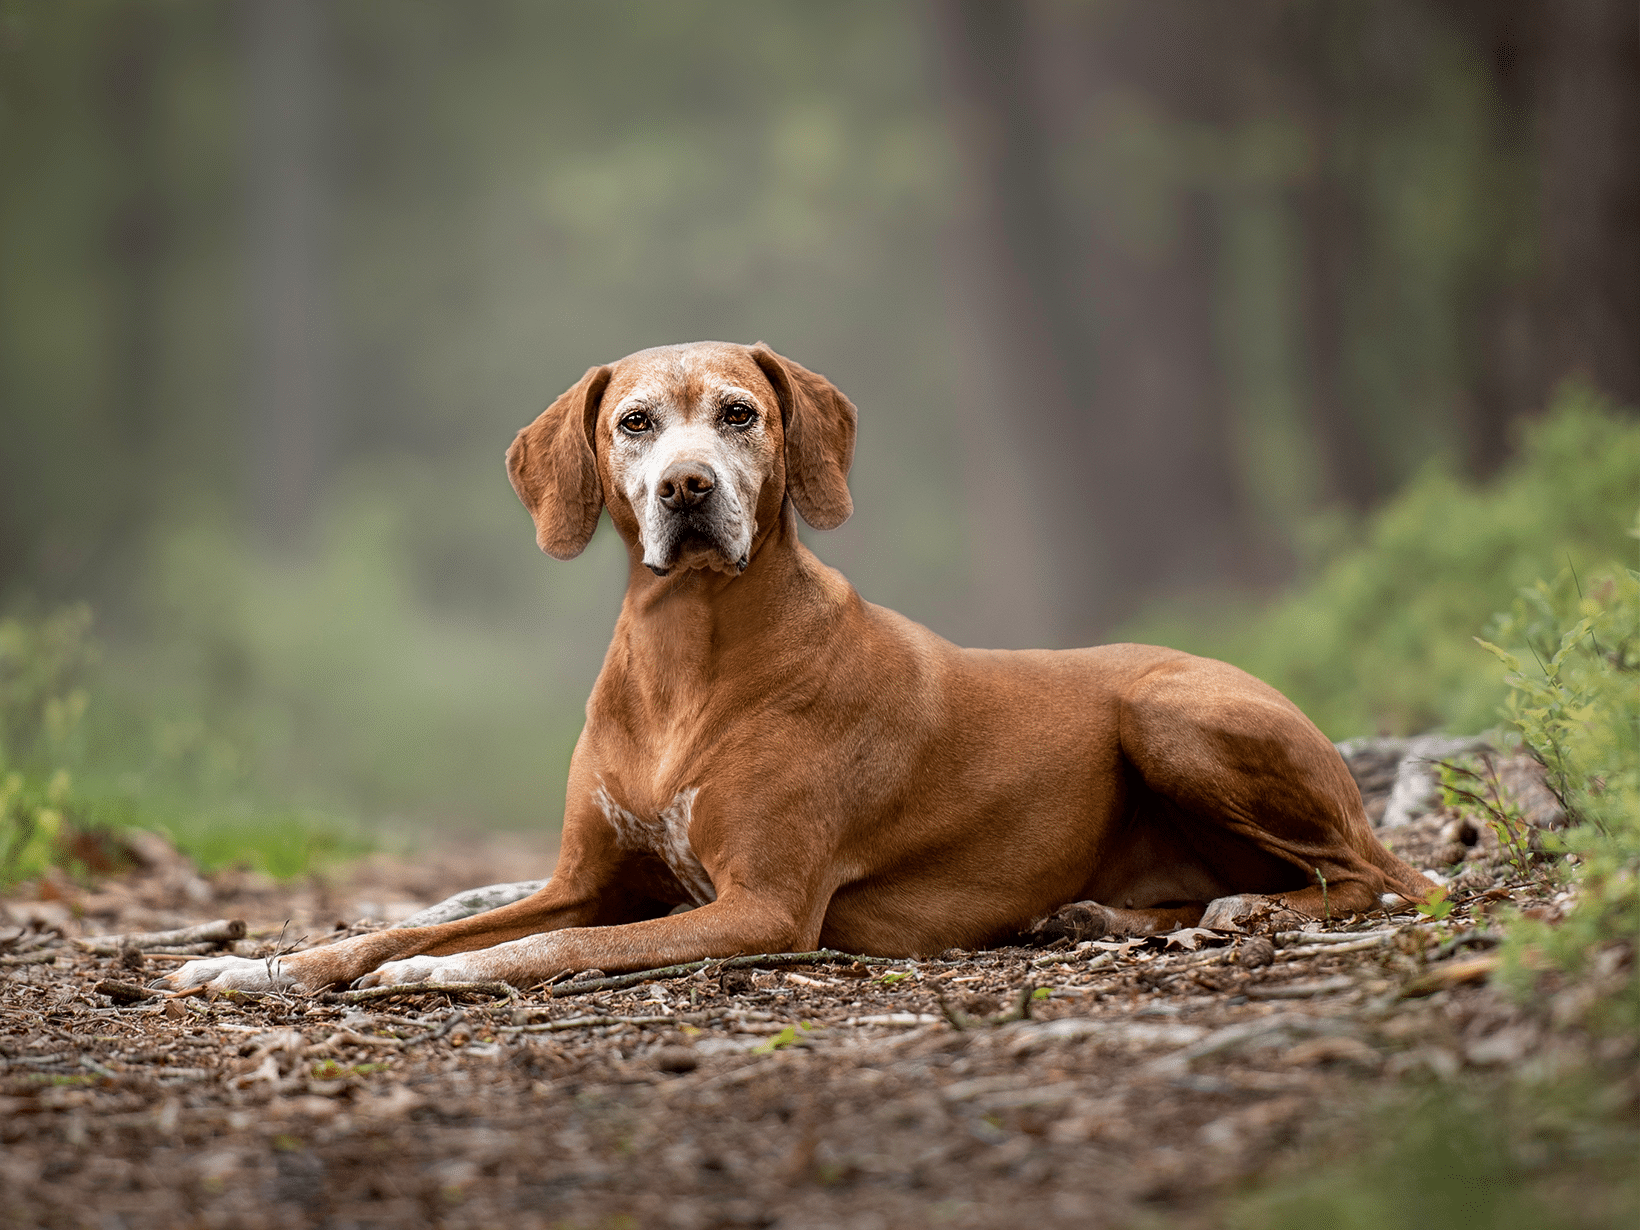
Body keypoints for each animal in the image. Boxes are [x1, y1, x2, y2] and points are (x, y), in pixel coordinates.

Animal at [159, 342, 1430, 997]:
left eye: (737, 414)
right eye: (632, 423)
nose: (687, 487)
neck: (684, 655)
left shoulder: (760, 907)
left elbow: (553, 946)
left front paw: (447, 976)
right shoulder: (586, 873)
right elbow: (399, 929)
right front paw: (268, 967)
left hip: (1170, 714)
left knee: (1379, 876)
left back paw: (1241, 911)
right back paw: (1103, 915)